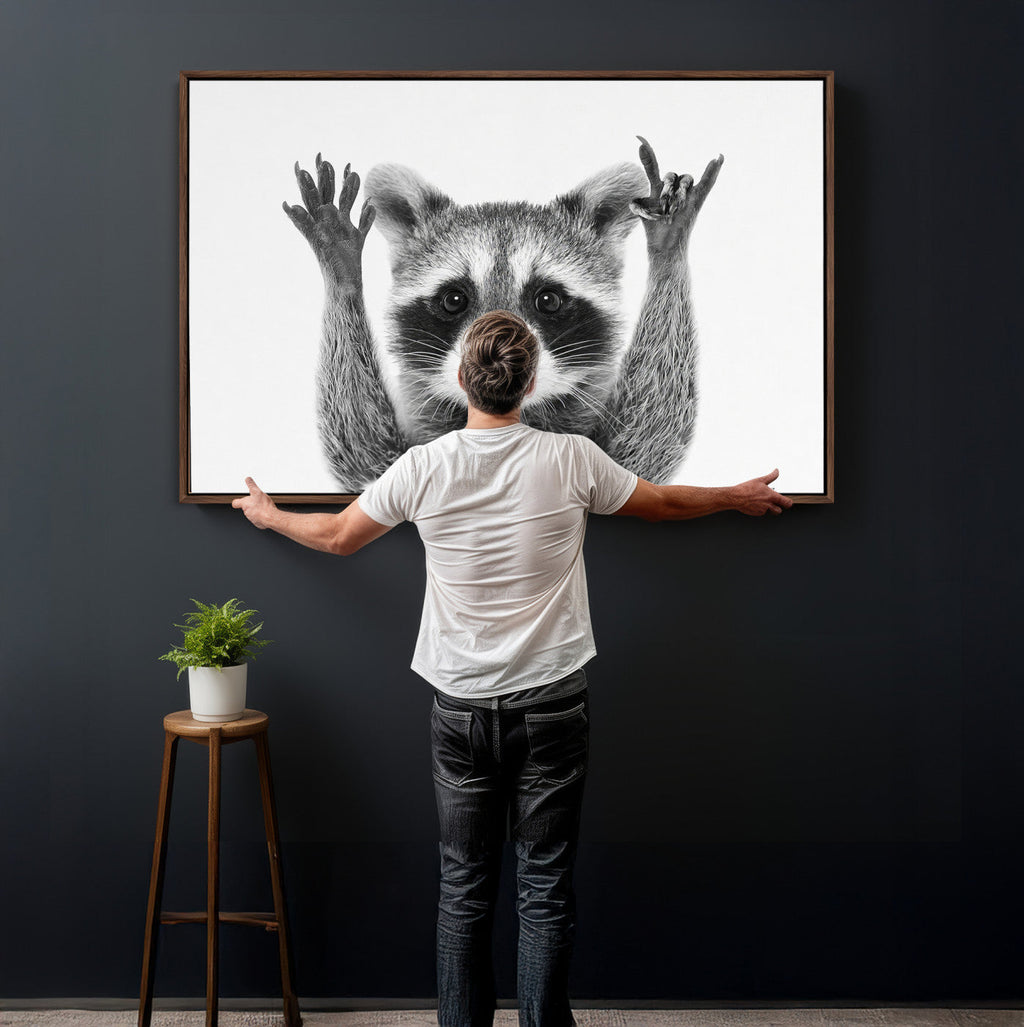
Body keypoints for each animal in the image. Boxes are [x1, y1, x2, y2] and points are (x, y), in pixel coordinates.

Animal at [282, 138, 723, 492]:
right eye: (453, 300)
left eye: (548, 300)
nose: (497, 357)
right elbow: (363, 460)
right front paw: (342, 268)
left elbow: (649, 442)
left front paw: (668, 247)